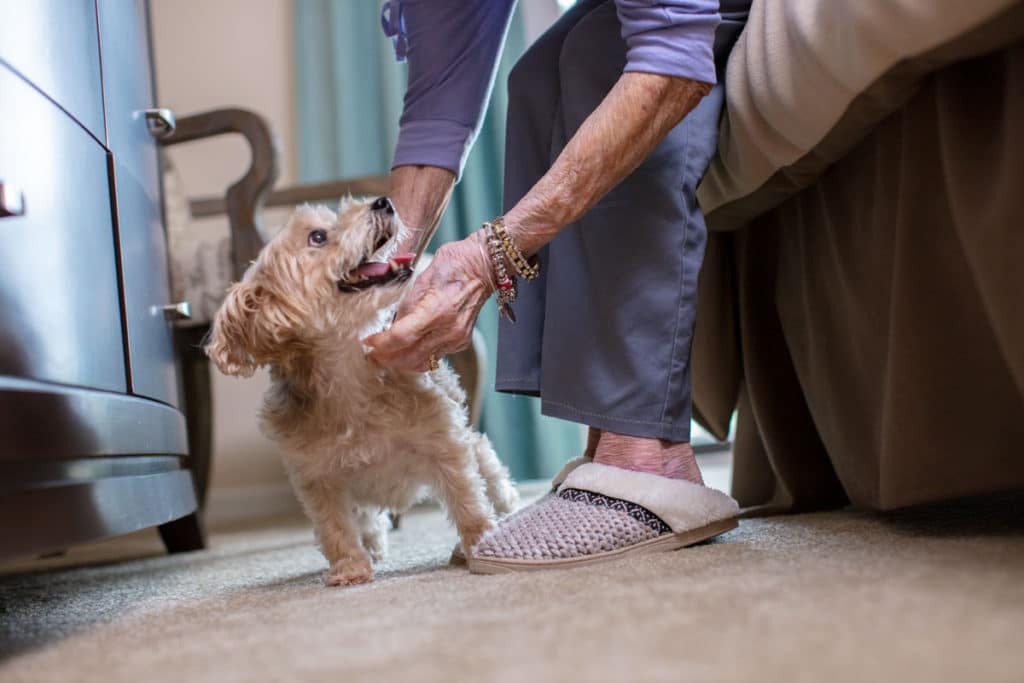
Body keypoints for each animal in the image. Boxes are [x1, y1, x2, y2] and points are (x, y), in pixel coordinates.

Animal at [205, 197, 520, 589]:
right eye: (318, 236)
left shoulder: (443, 440)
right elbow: (336, 529)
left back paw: (510, 503)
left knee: (487, 464)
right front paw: (350, 569)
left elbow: (467, 497)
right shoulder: (317, 479)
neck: (349, 378)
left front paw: (480, 540)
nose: (383, 202)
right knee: (368, 517)